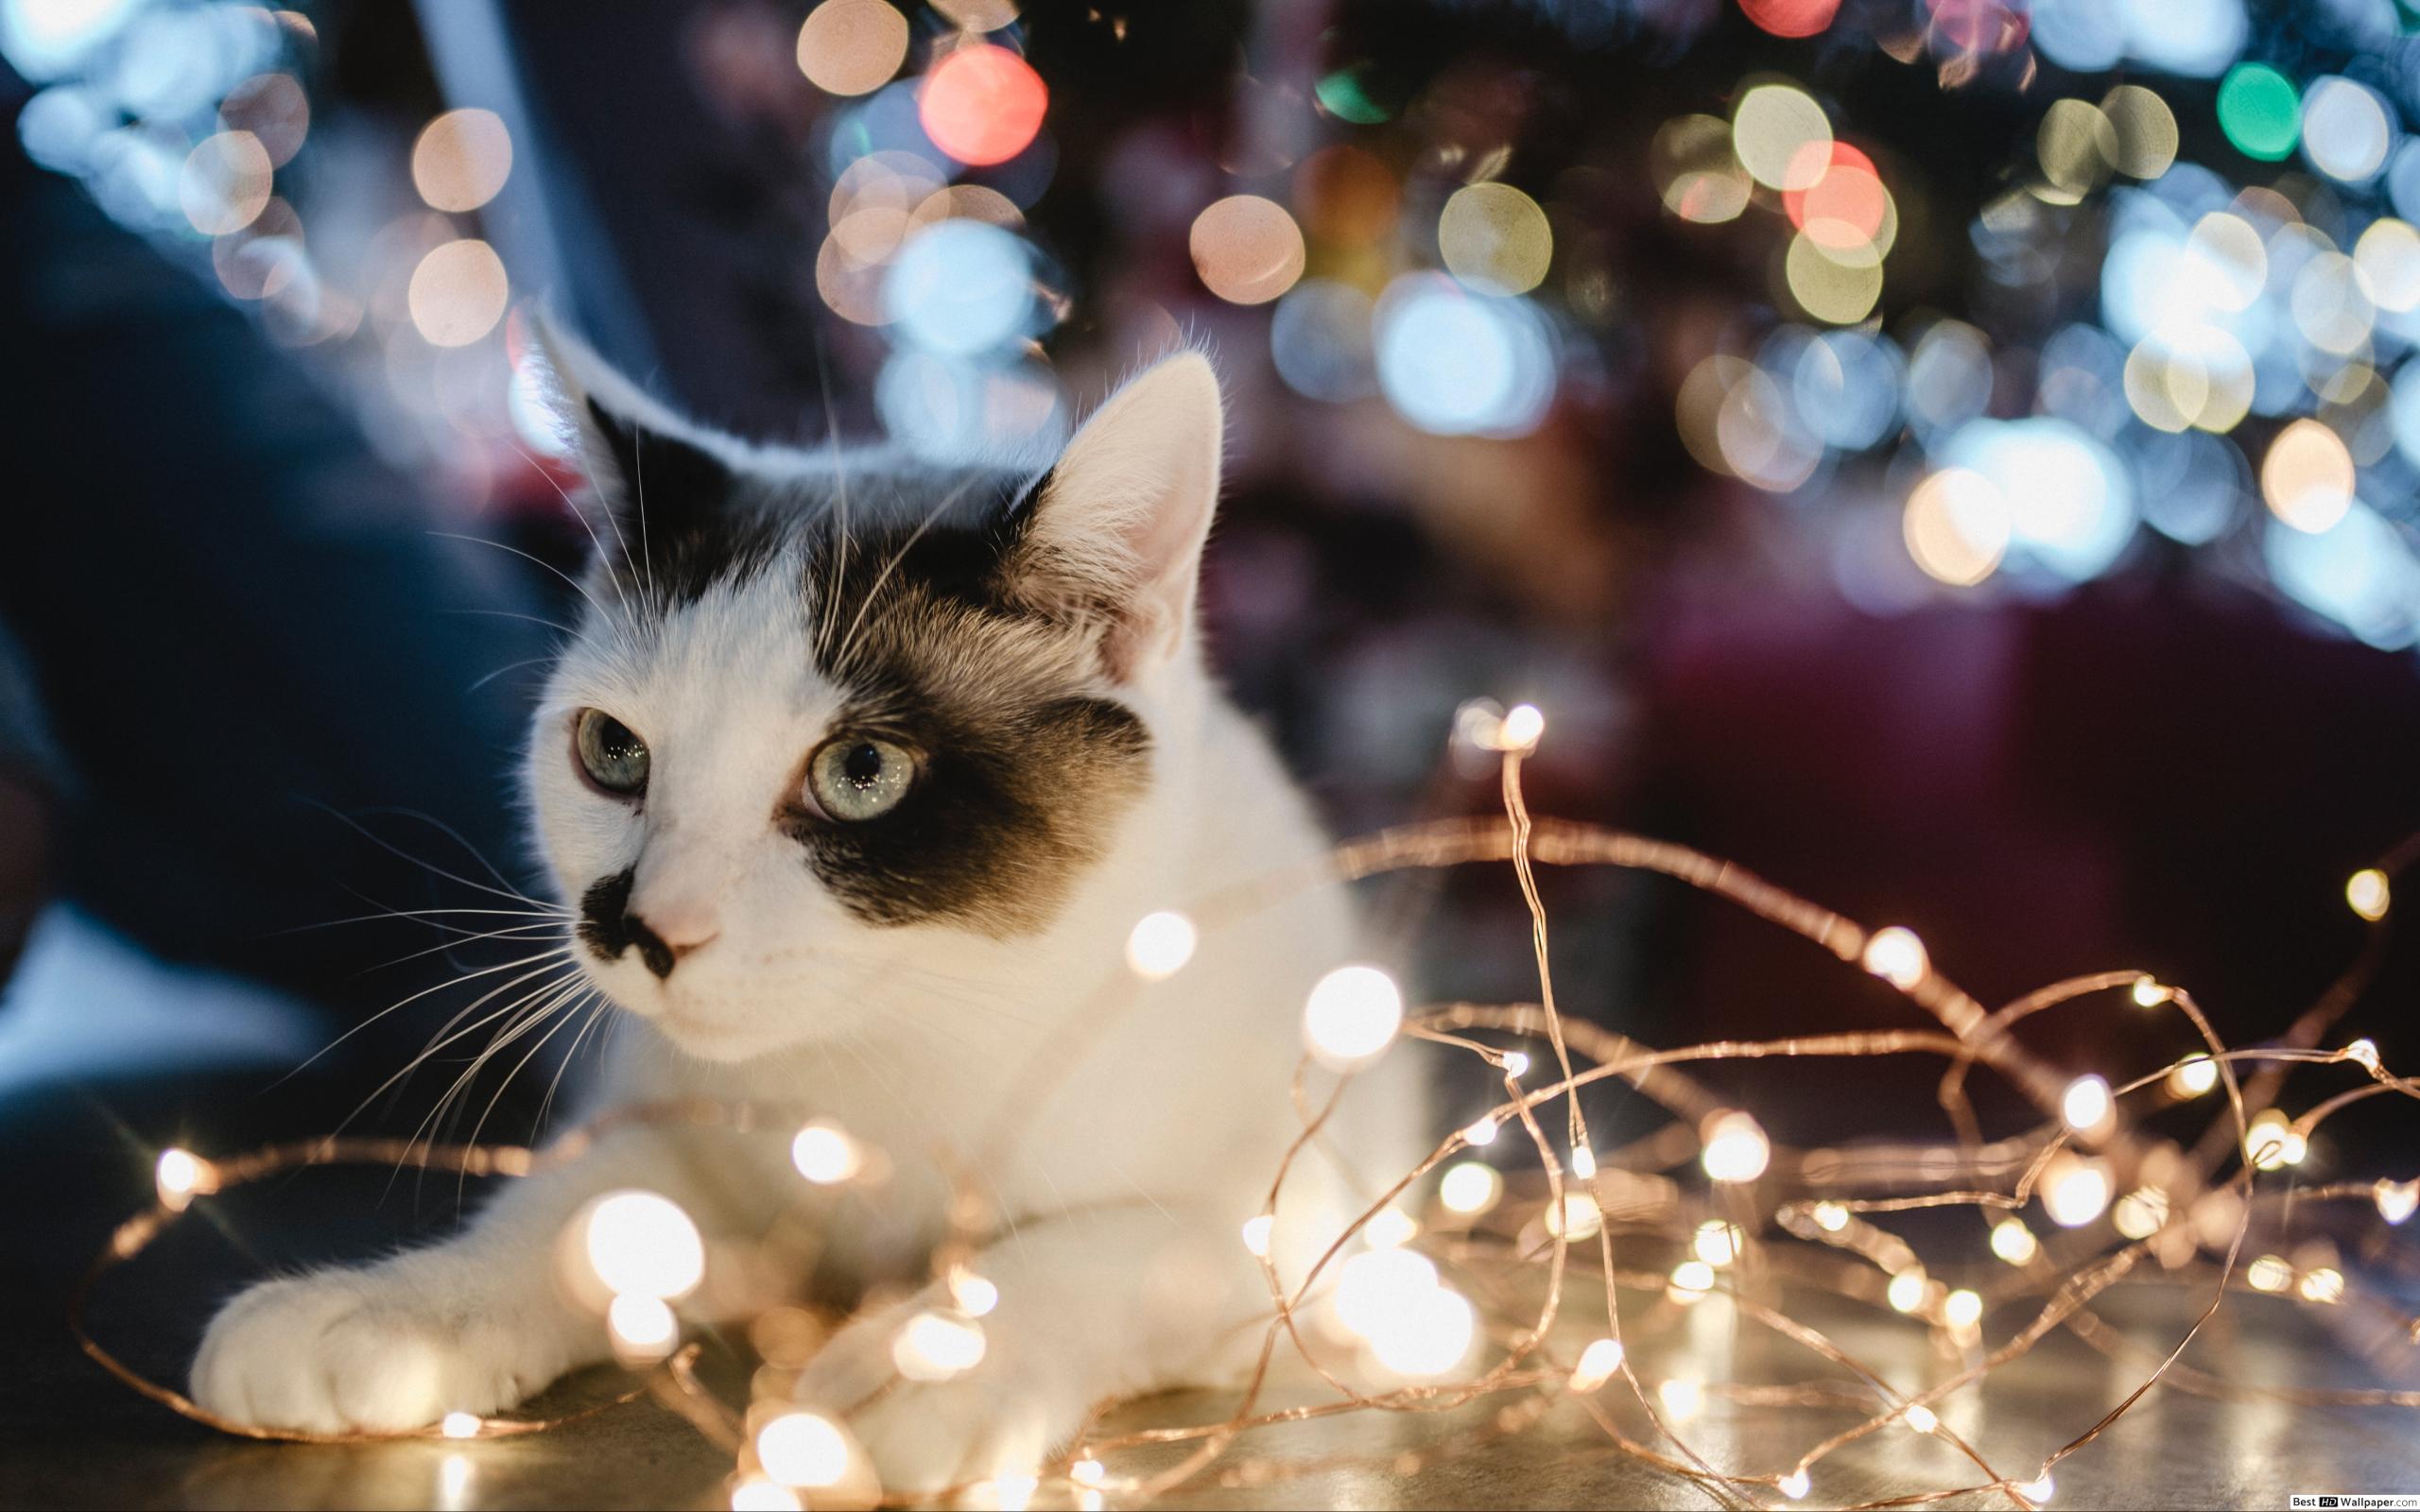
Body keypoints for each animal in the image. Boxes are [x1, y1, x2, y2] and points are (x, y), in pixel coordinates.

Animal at [203, 340, 1432, 1489]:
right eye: (612, 751)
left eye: (861, 772)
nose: (644, 927)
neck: (902, 1051)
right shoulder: (679, 1126)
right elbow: (580, 1216)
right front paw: (394, 1308)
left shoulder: (1305, 1220)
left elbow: (1132, 1242)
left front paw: (929, 1360)